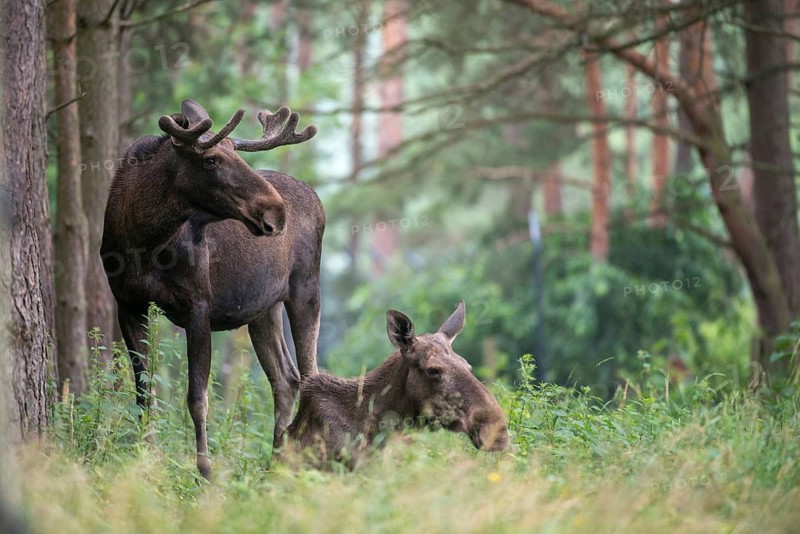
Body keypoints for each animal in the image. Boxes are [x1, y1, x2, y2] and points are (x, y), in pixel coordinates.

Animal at [101, 99, 324, 479]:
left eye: (236, 151)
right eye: (210, 160)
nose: (275, 211)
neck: (142, 239)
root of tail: (318, 200)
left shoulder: (198, 305)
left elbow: (197, 396)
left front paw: (204, 469)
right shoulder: (127, 304)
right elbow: (144, 392)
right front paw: (145, 457)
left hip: (307, 290)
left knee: (312, 375)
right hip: (264, 308)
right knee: (286, 379)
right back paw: (274, 465)